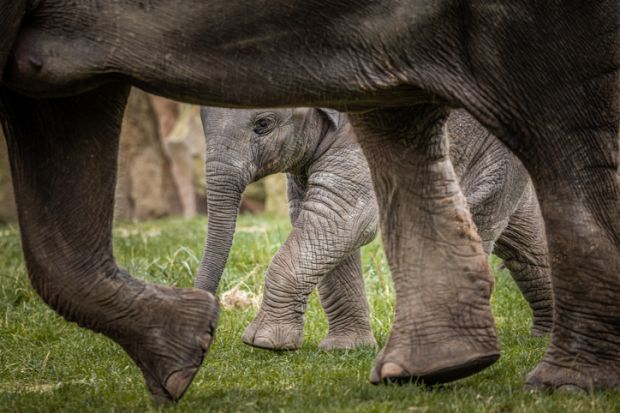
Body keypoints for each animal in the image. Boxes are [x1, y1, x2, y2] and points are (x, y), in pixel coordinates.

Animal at [195, 107, 552, 350]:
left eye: (263, 125)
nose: (204, 339)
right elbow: (324, 224)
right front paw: (346, 348)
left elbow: (341, 218)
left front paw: (264, 343)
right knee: (525, 247)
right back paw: (544, 336)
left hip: (493, 155)